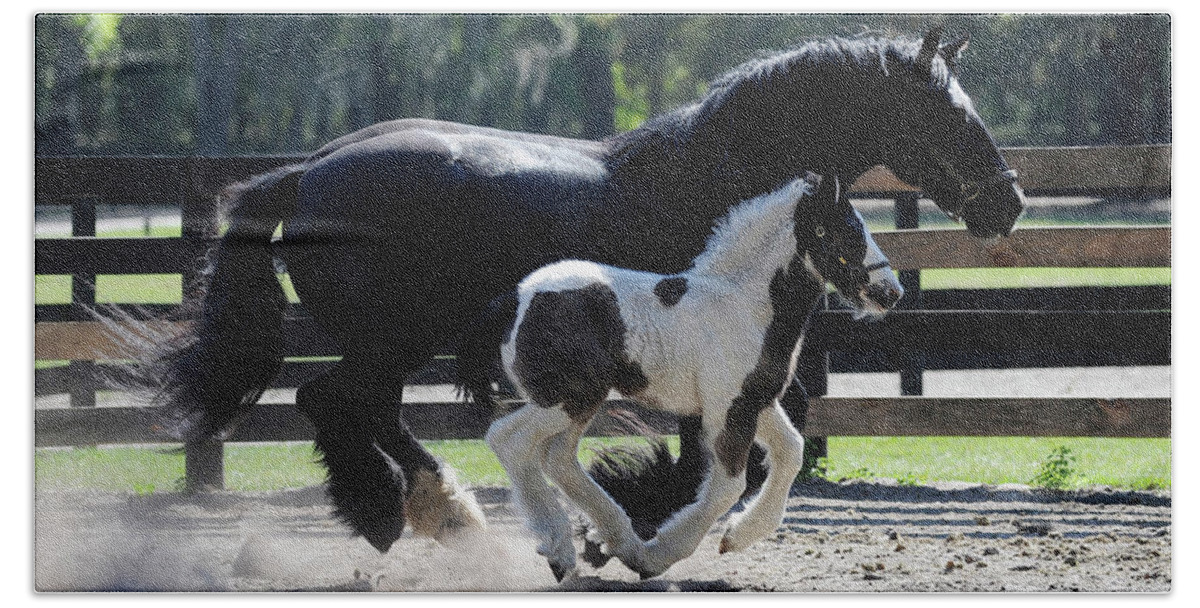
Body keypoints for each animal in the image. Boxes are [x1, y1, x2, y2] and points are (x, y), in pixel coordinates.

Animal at [458, 172, 902, 580]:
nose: (891, 292)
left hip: (576, 404)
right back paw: (561, 550)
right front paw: (664, 554)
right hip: (569, 398)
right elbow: (729, 485)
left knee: (557, 459)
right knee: (510, 440)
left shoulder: (756, 401)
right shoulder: (728, 408)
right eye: (849, 230)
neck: (746, 304)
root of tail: (514, 298)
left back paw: (617, 541)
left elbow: (791, 452)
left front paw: (736, 535)